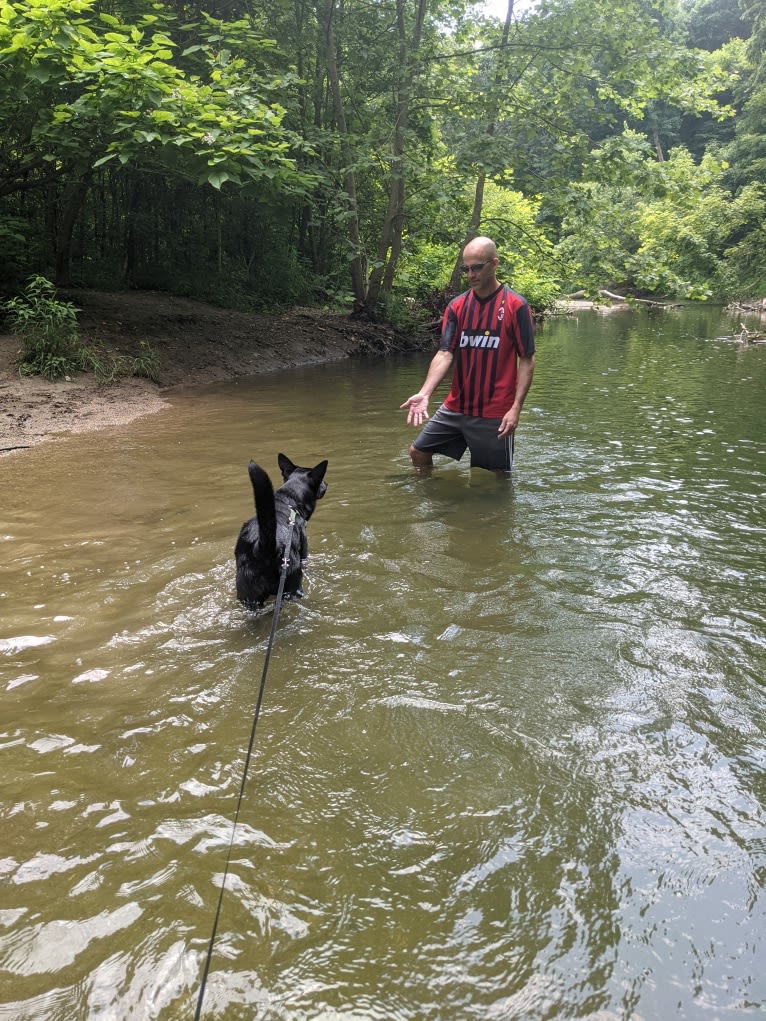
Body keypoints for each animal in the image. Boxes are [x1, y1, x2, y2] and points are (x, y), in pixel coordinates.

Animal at [235, 453, 328, 608]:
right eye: (321, 481)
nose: (326, 483)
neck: (289, 499)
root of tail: (263, 547)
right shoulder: (304, 553)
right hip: (292, 585)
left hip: (248, 596)